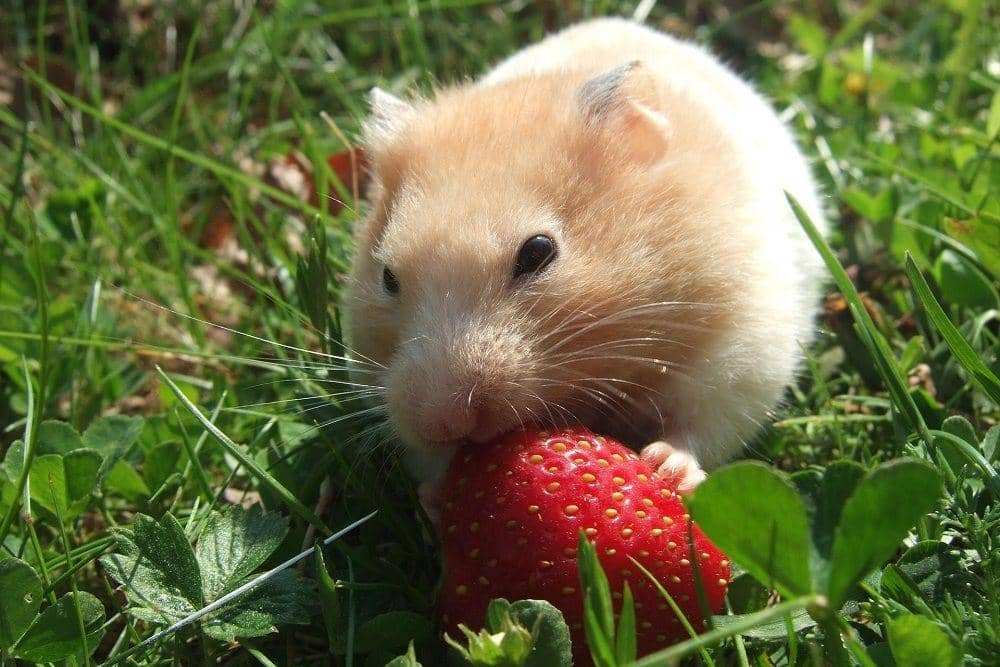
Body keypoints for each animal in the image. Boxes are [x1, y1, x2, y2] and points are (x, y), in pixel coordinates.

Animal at [344, 17, 827, 496]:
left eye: (538, 252)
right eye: (387, 277)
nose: (442, 423)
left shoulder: (741, 353)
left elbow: (701, 427)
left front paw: (665, 467)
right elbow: (431, 464)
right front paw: (436, 493)